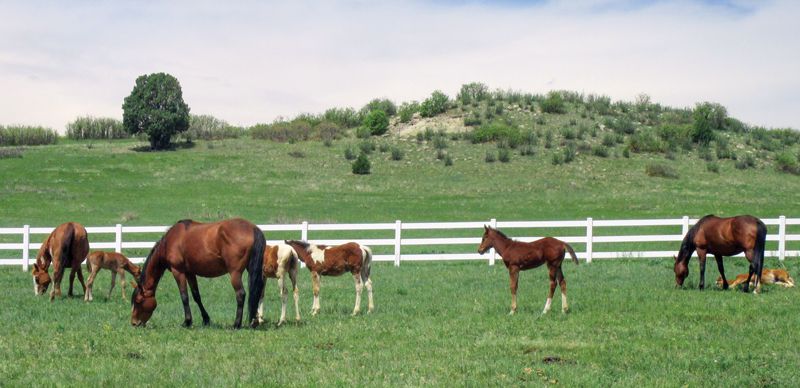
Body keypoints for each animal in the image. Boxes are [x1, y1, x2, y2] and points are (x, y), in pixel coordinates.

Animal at [131, 218, 268, 328]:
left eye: (138, 301)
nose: (134, 323)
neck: (170, 241)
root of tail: (253, 228)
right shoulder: (190, 273)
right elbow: (196, 296)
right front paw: (205, 319)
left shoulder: (178, 271)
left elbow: (184, 296)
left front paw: (187, 322)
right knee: (257, 292)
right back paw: (254, 322)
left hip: (235, 273)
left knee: (241, 294)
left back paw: (236, 324)